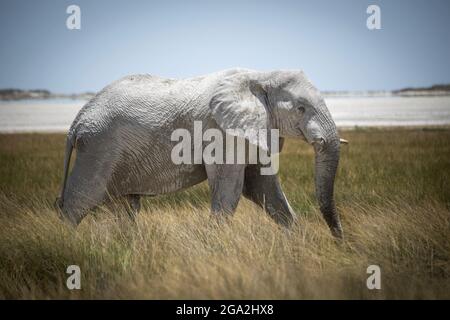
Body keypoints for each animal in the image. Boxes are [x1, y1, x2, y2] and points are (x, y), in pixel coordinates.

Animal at [55, 68, 344, 238]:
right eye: (301, 108)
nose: (339, 241)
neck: (261, 75)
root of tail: (76, 122)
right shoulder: (220, 131)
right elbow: (231, 189)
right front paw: (216, 246)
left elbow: (262, 187)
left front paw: (299, 241)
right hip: (98, 148)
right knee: (79, 202)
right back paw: (67, 247)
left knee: (125, 208)